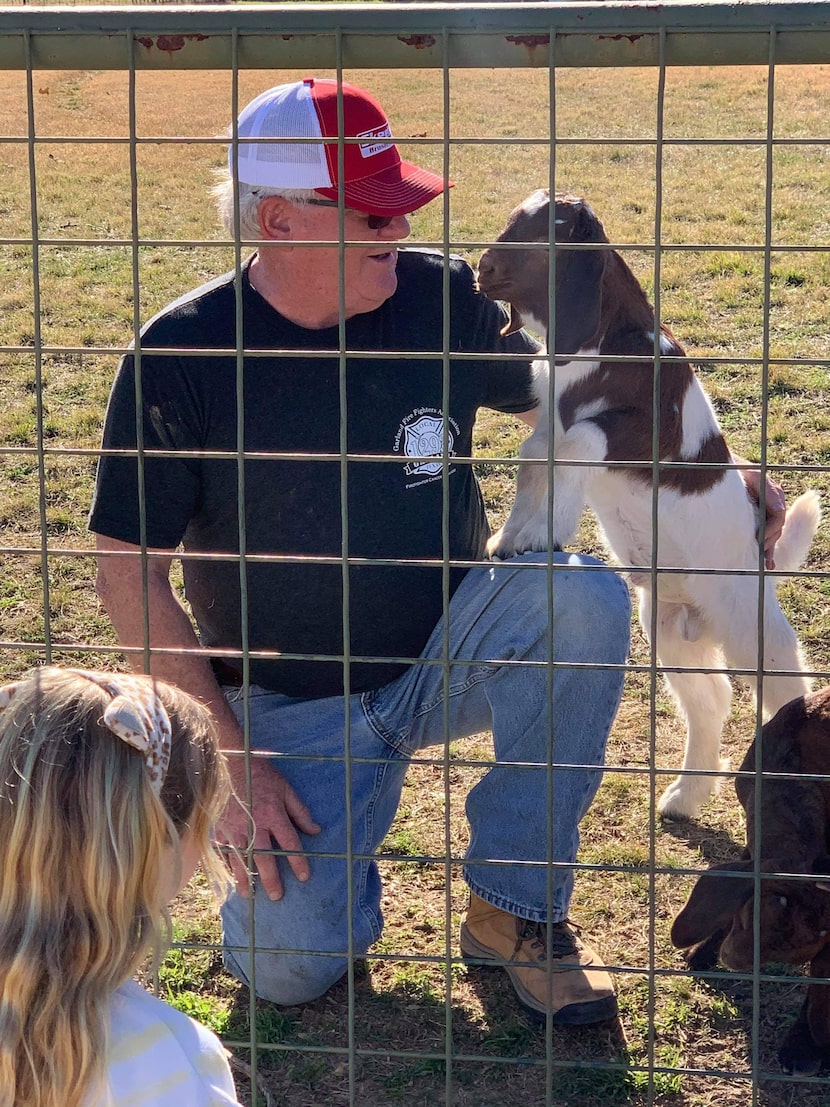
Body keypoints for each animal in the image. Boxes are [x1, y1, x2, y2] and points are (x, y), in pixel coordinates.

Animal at [478, 188, 823, 823]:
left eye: (551, 231)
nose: (482, 268)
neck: (598, 344)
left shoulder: (643, 432)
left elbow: (577, 443)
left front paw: (547, 529)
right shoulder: (549, 415)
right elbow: (536, 454)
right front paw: (516, 536)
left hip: (750, 623)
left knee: (787, 692)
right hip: (667, 632)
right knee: (712, 699)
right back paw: (685, 796)